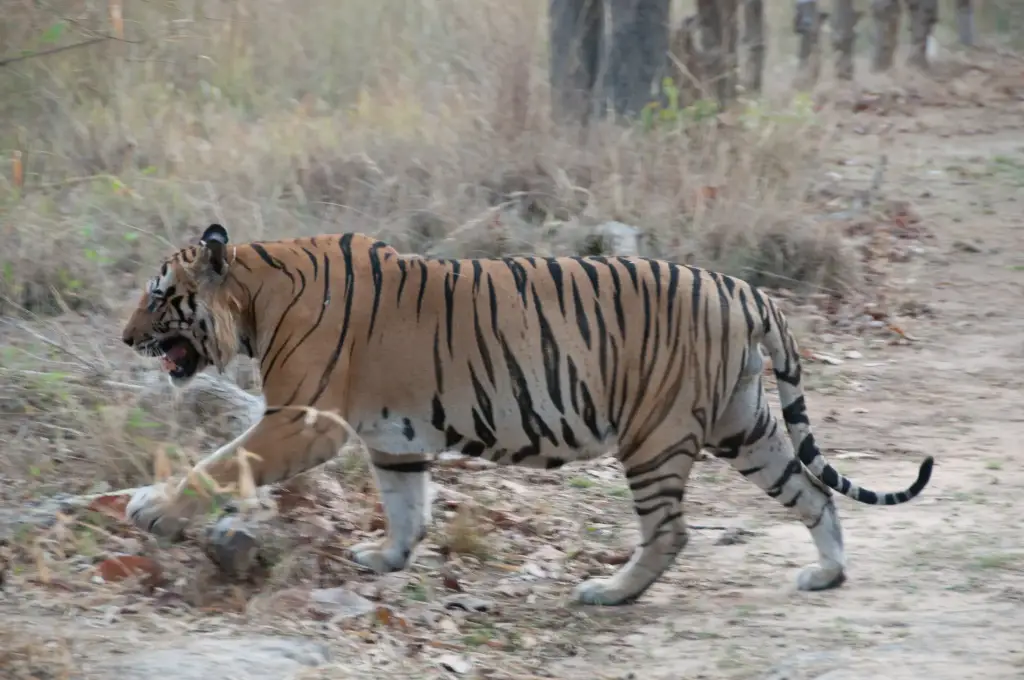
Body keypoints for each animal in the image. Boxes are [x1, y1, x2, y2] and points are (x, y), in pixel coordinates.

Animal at [121, 223, 934, 606]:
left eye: (159, 295)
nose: (125, 339)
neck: (256, 295)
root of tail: (745, 289)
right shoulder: (393, 436)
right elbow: (406, 502)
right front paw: (387, 558)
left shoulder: (300, 418)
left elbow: (220, 462)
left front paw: (152, 509)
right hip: (744, 425)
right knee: (813, 490)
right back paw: (826, 573)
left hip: (655, 434)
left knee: (670, 532)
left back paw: (609, 592)